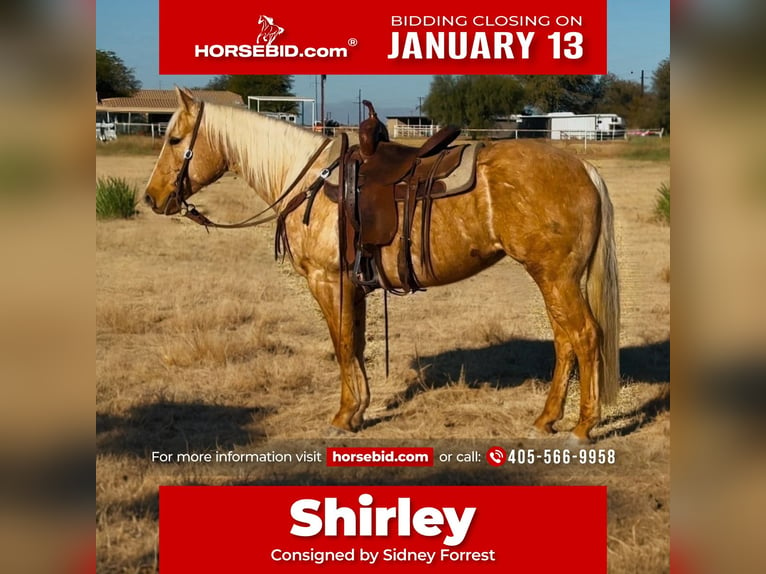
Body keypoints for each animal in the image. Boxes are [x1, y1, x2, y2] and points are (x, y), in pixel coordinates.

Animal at [144, 88, 624, 444]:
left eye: (174, 140)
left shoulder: (327, 281)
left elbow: (341, 345)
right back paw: (546, 419)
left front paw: (343, 416)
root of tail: (583, 166)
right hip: (555, 277)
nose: (151, 197)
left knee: (584, 336)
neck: (309, 181)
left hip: (556, 276)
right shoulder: (351, 285)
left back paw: (583, 426)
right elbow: (355, 343)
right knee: (565, 341)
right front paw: (358, 411)